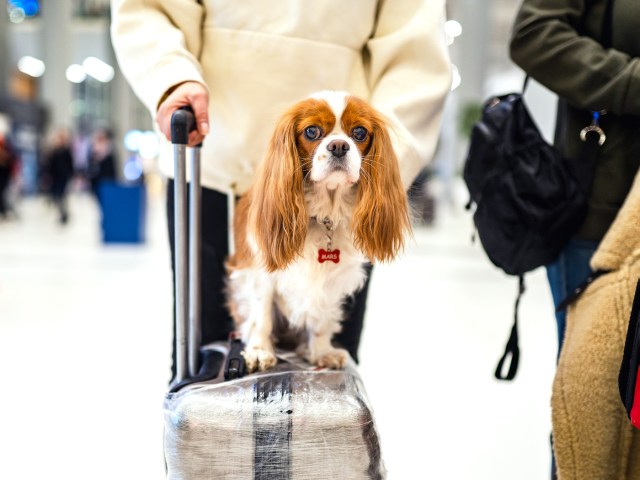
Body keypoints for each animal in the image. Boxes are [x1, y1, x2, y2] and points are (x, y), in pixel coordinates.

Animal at [228, 90, 412, 374]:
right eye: (312, 131)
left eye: (359, 132)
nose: (338, 146)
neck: (325, 213)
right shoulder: (259, 272)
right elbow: (262, 317)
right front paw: (259, 351)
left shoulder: (333, 280)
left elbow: (321, 319)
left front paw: (322, 352)